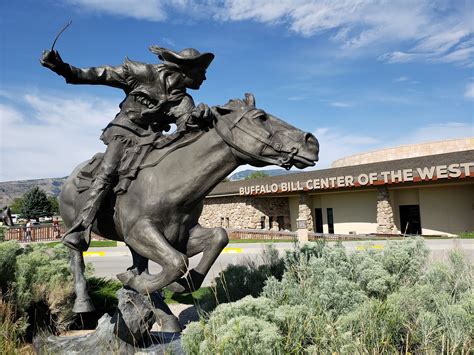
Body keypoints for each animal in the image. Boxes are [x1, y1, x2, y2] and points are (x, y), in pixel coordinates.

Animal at [59, 94, 318, 314]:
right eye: (260, 117)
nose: (312, 142)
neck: (169, 181)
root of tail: (69, 180)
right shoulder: (139, 231)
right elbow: (178, 261)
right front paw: (141, 282)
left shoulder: (182, 233)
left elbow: (217, 237)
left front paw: (180, 284)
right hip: (78, 227)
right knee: (76, 255)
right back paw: (84, 303)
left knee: (139, 262)